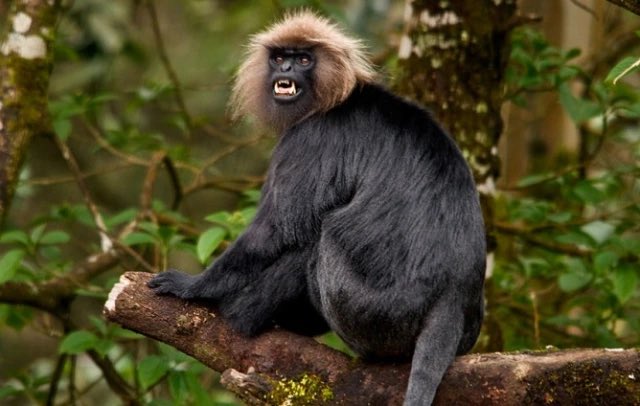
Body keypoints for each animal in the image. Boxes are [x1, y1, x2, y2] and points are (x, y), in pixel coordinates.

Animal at [148, 11, 486, 406]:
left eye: (304, 59)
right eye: (281, 57)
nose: (287, 68)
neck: (335, 97)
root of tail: (453, 296)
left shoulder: (311, 138)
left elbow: (274, 231)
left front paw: (194, 286)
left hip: (371, 314)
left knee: (316, 241)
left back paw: (241, 315)